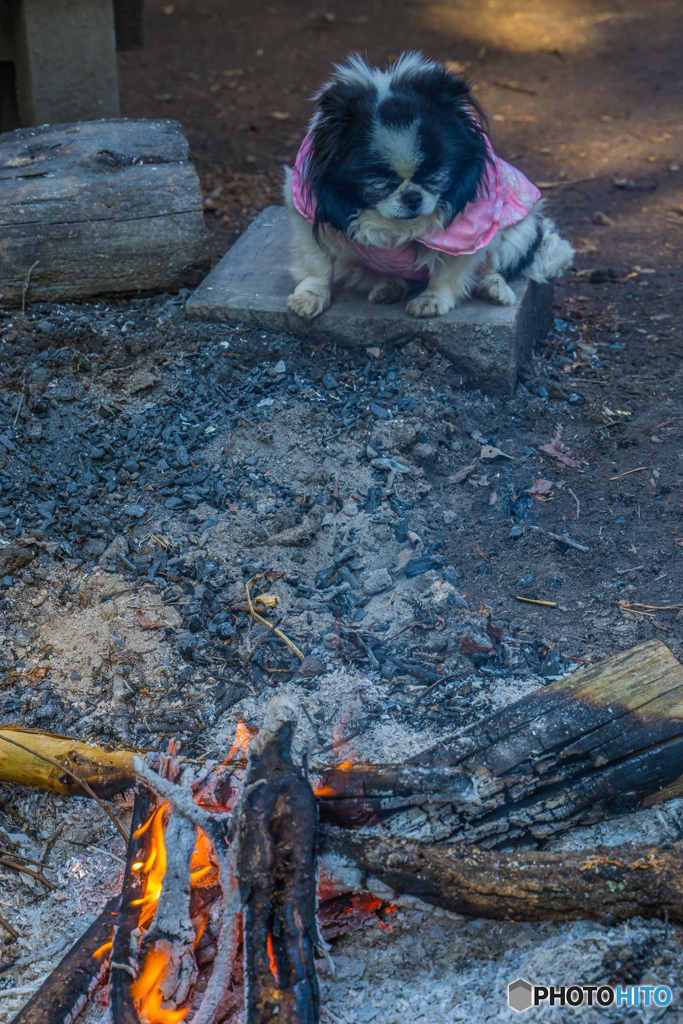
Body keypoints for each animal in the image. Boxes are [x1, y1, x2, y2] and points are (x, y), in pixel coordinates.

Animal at [282, 55, 573, 315]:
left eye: (435, 175)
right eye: (379, 182)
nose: (412, 197)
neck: (396, 227)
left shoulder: (463, 236)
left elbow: (447, 272)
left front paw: (432, 301)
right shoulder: (305, 212)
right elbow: (317, 264)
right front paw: (311, 296)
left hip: (519, 234)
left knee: (490, 266)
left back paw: (494, 288)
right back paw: (389, 287)